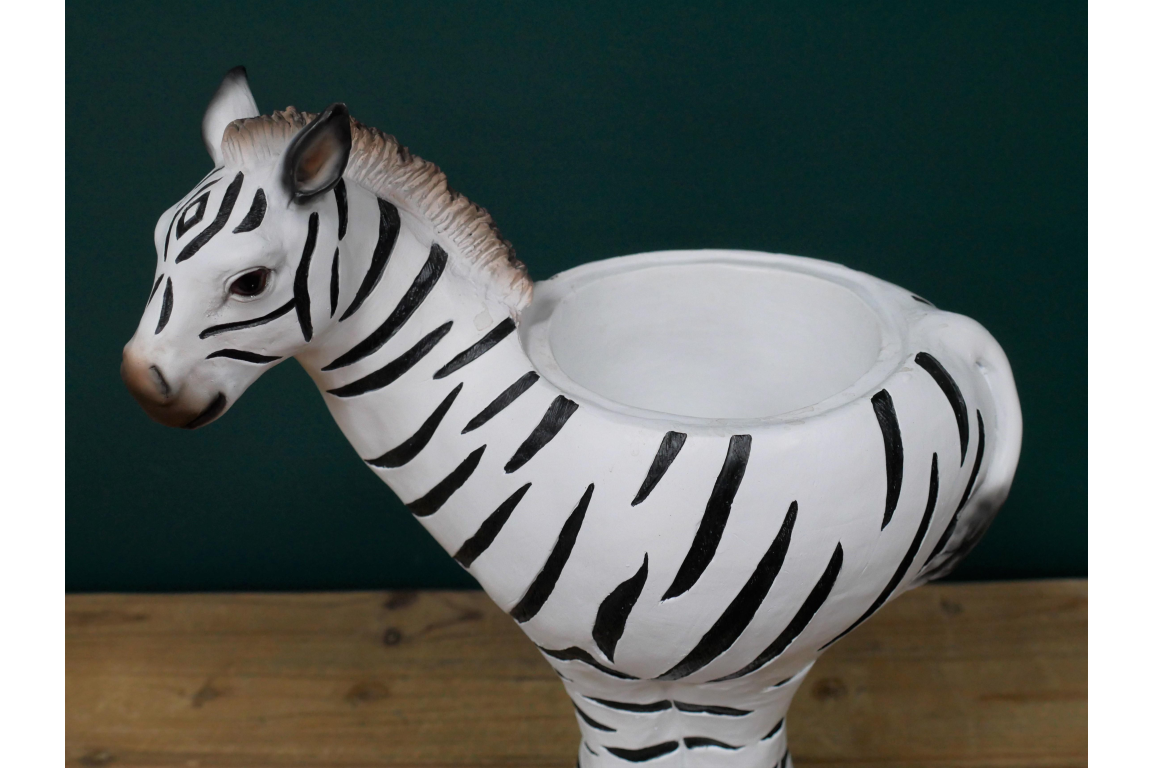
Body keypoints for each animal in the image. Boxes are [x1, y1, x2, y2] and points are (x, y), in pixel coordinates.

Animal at [121, 68, 1022, 767]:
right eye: (160, 238)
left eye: (250, 282)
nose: (142, 382)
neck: (476, 398)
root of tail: (936, 326)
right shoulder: (617, 676)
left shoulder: (640, 668)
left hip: (770, 649)